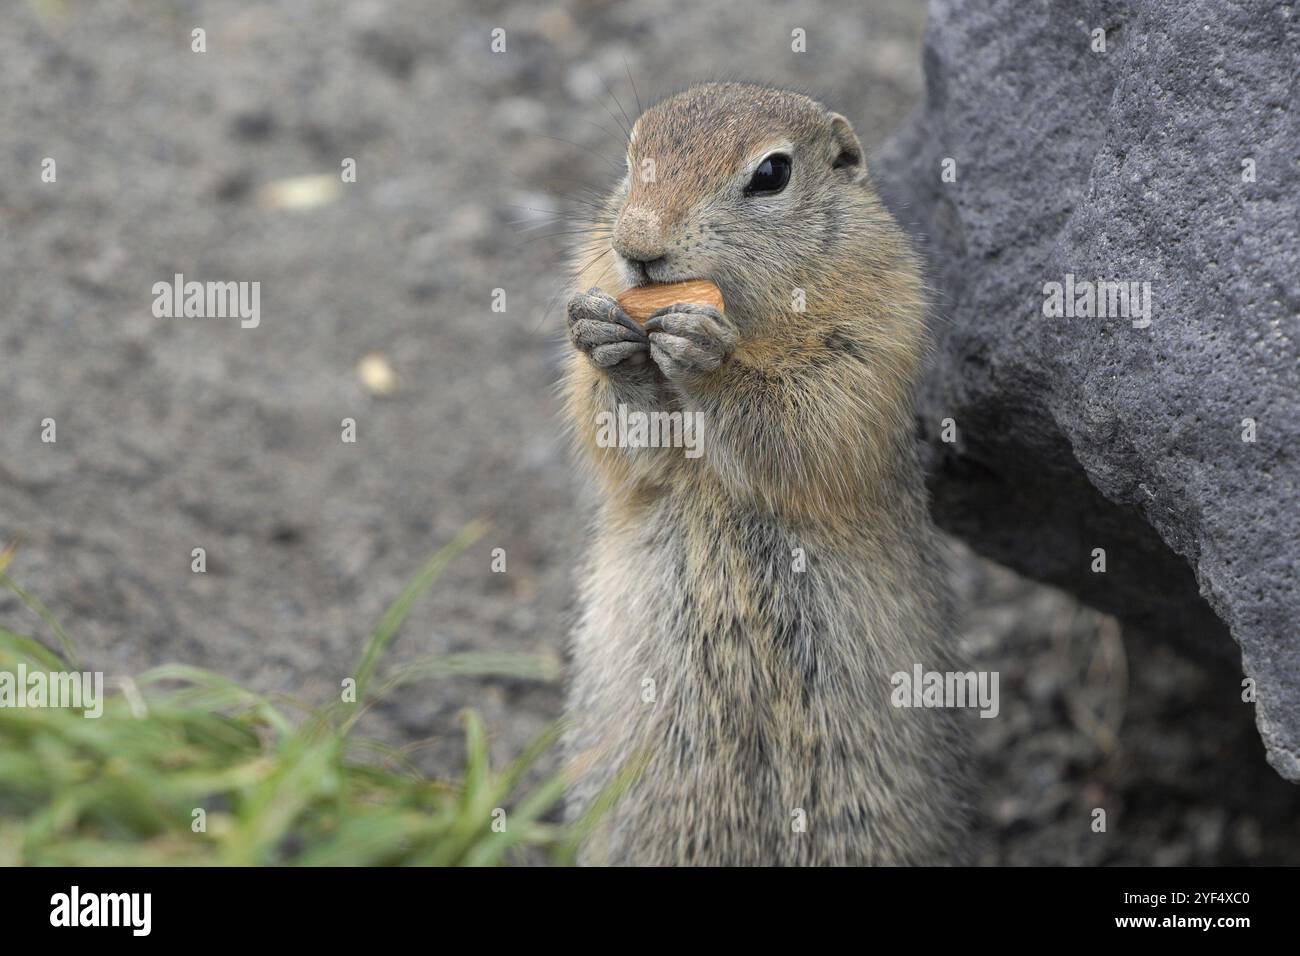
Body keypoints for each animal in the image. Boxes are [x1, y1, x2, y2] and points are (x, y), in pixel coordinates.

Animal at [564, 82, 972, 868]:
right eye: (631, 156)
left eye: (772, 173)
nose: (637, 248)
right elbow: (625, 444)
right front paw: (607, 344)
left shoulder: (872, 334)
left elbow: (804, 419)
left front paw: (706, 357)